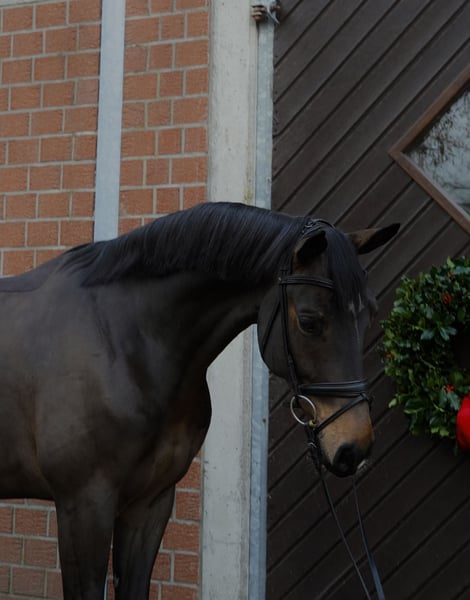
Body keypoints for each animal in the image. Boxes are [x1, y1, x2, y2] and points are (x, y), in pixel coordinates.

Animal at [0, 202, 398, 599]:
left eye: (369, 314)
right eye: (310, 321)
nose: (354, 447)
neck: (122, 340)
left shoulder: (150, 503)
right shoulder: (83, 506)